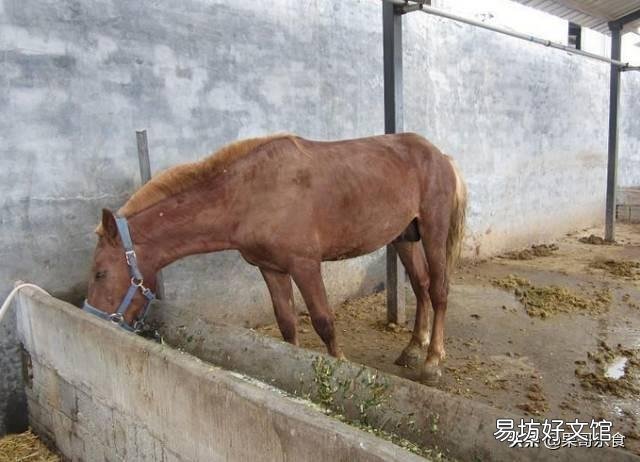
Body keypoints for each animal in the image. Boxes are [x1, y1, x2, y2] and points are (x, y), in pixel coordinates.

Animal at [84, 133, 467, 381]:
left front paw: (340, 366)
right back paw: (413, 348)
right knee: (420, 285)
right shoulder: (271, 269)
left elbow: (324, 322)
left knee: (439, 291)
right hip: (404, 238)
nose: (92, 318)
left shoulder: (305, 265)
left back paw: (432, 363)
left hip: (432, 231)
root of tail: (441, 156)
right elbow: (286, 324)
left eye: (100, 273)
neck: (248, 194)